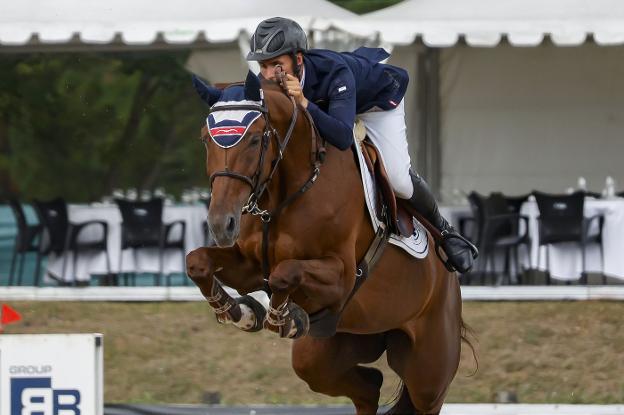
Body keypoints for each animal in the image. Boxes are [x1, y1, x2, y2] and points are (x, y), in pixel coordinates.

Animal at [185, 72, 464, 415]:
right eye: (205, 139)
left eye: (254, 139)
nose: (221, 224)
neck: (285, 193)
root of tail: (450, 283)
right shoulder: (250, 266)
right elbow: (197, 262)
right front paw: (241, 312)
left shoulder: (340, 276)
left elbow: (285, 273)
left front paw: (285, 319)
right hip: (330, 350)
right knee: (367, 386)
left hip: (429, 373)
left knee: (420, 395)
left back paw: (458, 247)